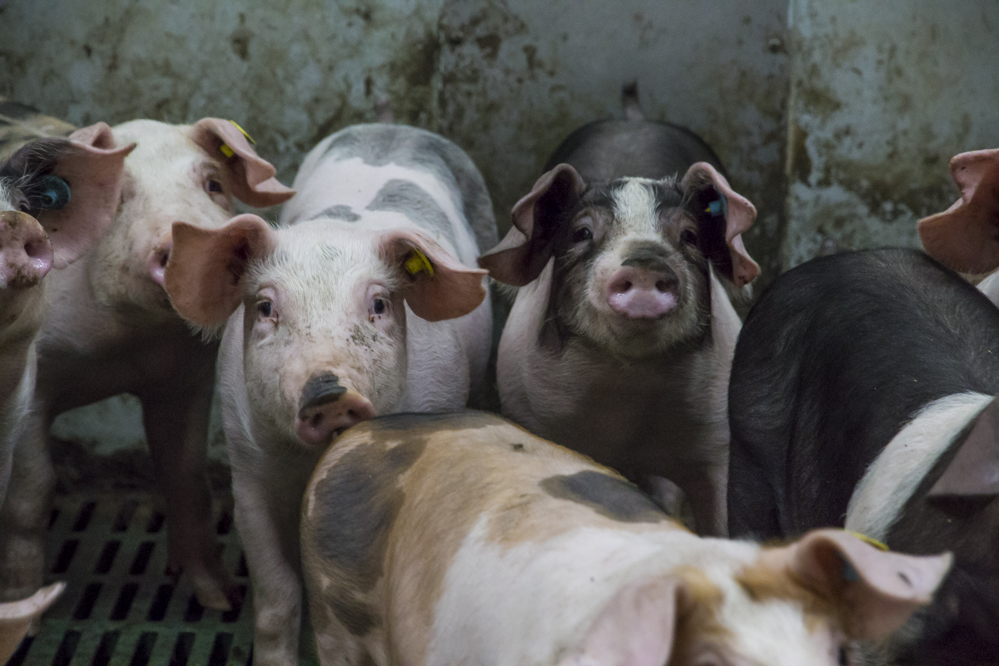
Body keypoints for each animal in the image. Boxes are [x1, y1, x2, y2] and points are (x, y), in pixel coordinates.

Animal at [0, 97, 294, 608]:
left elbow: (187, 479)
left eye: (213, 185)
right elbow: (32, 493)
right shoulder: (31, 383)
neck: (127, 346)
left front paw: (223, 599)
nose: (185, 238)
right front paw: (25, 599)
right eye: (120, 197)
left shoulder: (184, 381)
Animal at [164, 124, 500, 664]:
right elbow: (277, 593)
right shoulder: (247, 468)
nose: (328, 391)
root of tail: (396, 127)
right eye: (265, 307)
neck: (308, 465)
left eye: (379, 304)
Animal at [482, 114, 756, 536]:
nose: (645, 262)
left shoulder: (717, 437)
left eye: (690, 236)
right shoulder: (530, 413)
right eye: (582, 233)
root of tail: (632, 116)